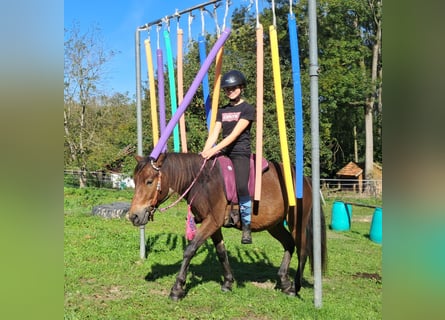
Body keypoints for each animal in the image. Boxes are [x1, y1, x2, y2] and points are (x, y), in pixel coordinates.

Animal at [126, 152, 324, 300]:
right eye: (135, 181)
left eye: (149, 181)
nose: (134, 216)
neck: (203, 181)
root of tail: (305, 179)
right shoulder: (215, 225)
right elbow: (221, 252)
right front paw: (228, 282)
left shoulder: (212, 222)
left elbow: (190, 249)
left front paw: (177, 288)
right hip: (274, 225)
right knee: (289, 244)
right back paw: (284, 281)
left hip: (297, 222)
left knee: (303, 250)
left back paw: (296, 287)